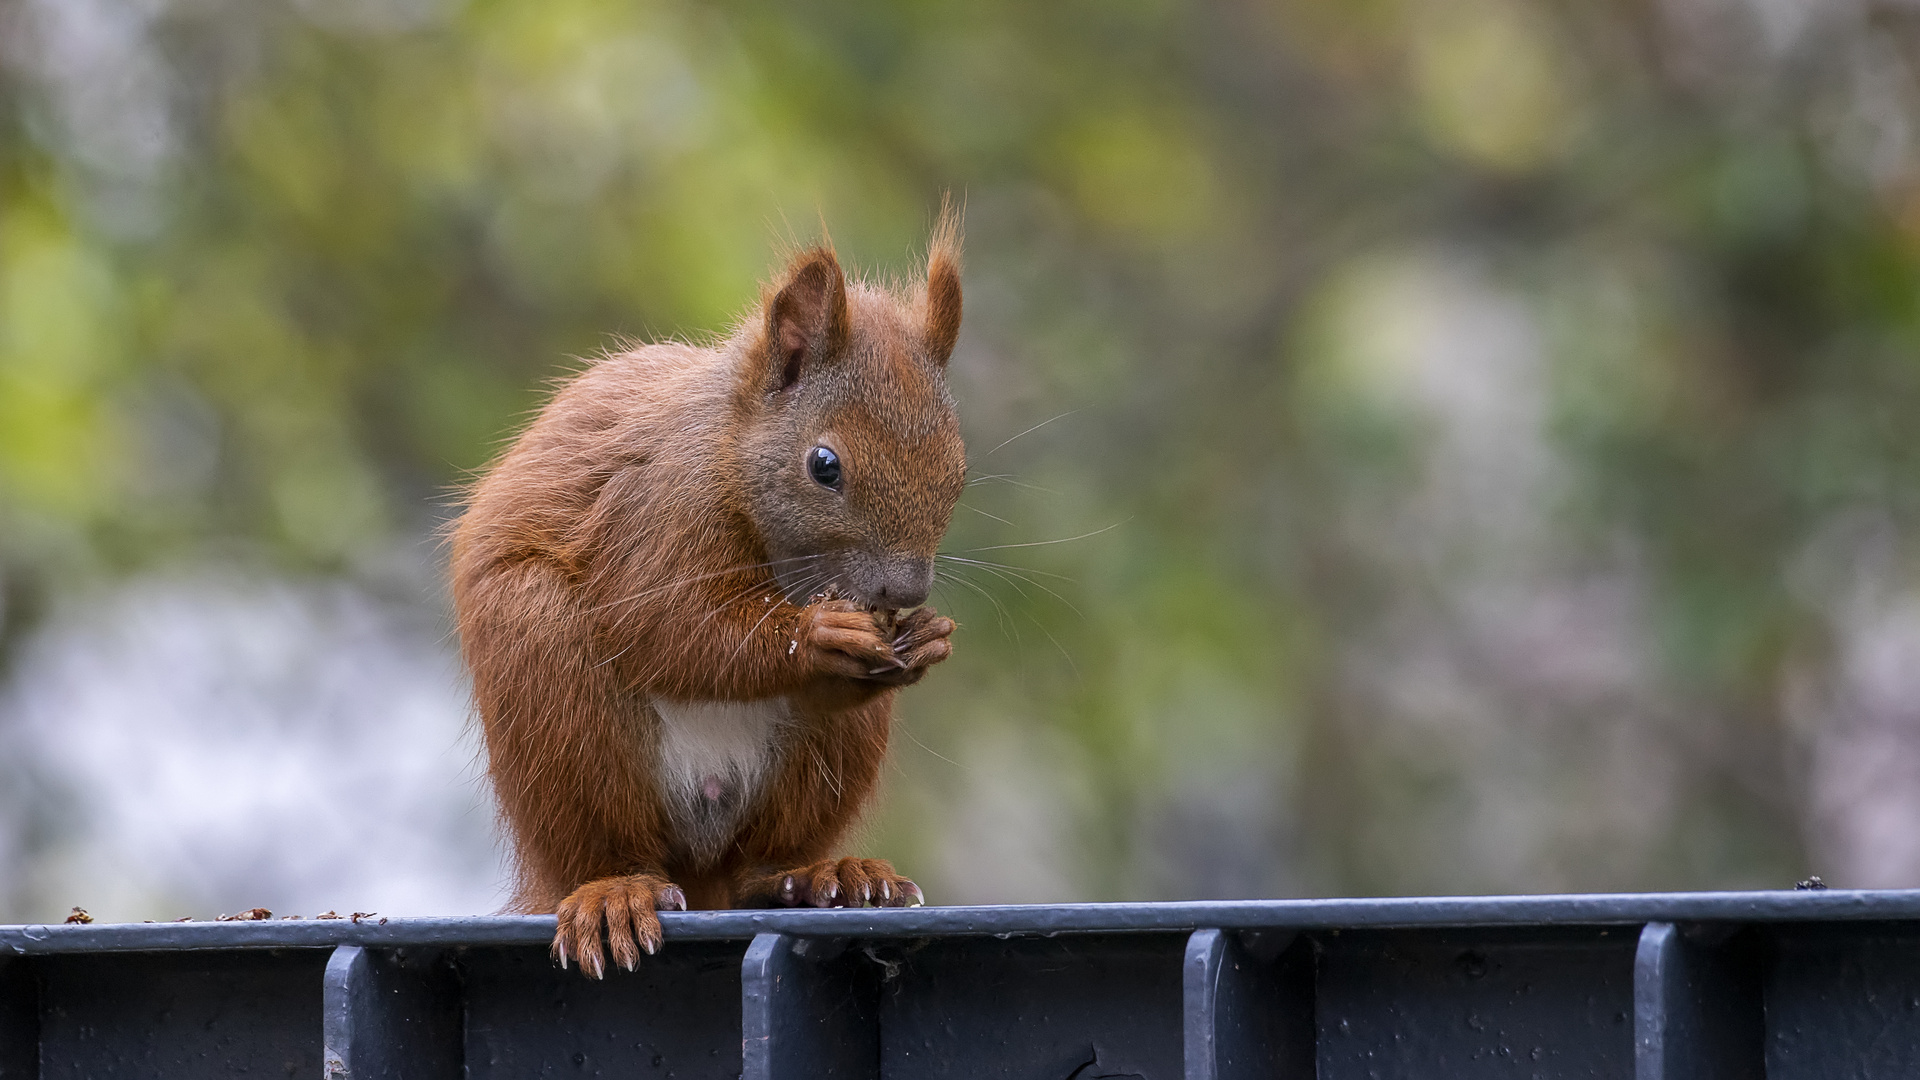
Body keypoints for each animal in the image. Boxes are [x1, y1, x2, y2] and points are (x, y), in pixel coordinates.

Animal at [447, 210, 960, 976]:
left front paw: (926, 639)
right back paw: (614, 892)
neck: (729, 449)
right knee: (605, 847)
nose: (905, 587)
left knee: (758, 865)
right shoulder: (655, 509)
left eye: (958, 470)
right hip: (549, 680)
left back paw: (824, 875)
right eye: (825, 465)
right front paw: (816, 637)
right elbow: (661, 624)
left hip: (822, 763)